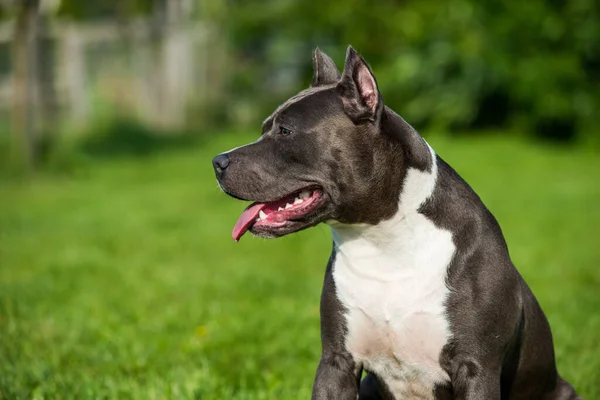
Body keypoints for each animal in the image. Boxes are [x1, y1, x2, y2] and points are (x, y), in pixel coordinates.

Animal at [212, 47, 580, 400]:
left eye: (286, 131)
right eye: (265, 128)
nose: (217, 161)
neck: (382, 240)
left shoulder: (476, 368)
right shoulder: (337, 362)